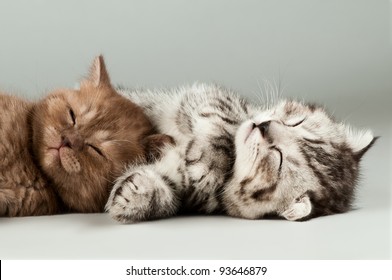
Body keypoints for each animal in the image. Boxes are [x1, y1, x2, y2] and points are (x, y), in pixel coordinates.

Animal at [105, 83, 376, 223]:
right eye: (296, 122)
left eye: (278, 158)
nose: (263, 126)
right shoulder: (207, 98)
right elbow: (223, 123)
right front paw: (210, 161)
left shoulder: (192, 194)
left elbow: (170, 195)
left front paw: (136, 195)